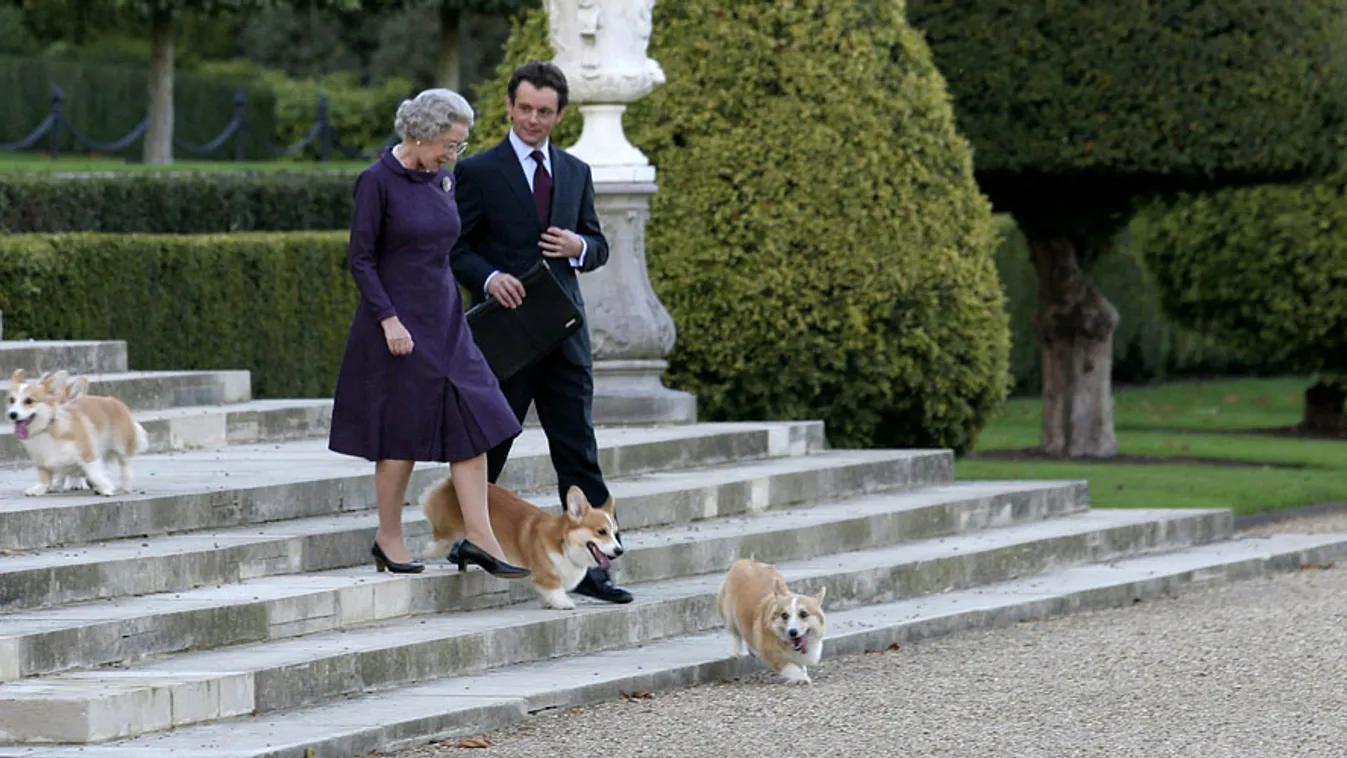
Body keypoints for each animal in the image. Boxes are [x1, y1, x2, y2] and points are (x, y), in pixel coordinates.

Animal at [6, 368, 148, 498]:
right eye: (11, 400)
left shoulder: (87, 453)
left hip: (121, 445)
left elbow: (94, 473)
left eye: (29, 401)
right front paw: (41, 488)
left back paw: (126, 486)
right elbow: (45, 476)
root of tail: (113, 400)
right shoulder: (42, 461)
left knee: (125, 465)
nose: (12, 414)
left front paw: (105, 487)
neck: (46, 428)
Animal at [420, 479, 625, 611]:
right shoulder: (546, 573)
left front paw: (548, 603)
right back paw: (430, 551)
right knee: (440, 540)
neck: (564, 543)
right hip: (448, 530)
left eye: (615, 533)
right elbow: (554, 587)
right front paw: (563, 603)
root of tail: (448, 482)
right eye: (601, 532)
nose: (619, 550)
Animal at [721, 557, 824, 689]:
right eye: (784, 615)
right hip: (728, 614)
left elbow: (800, 666)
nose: (792, 632)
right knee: (736, 633)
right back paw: (735, 652)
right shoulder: (773, 654)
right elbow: (790, 667)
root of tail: (747, 561)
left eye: (803, 614)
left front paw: (801, 674)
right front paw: (801, 678)